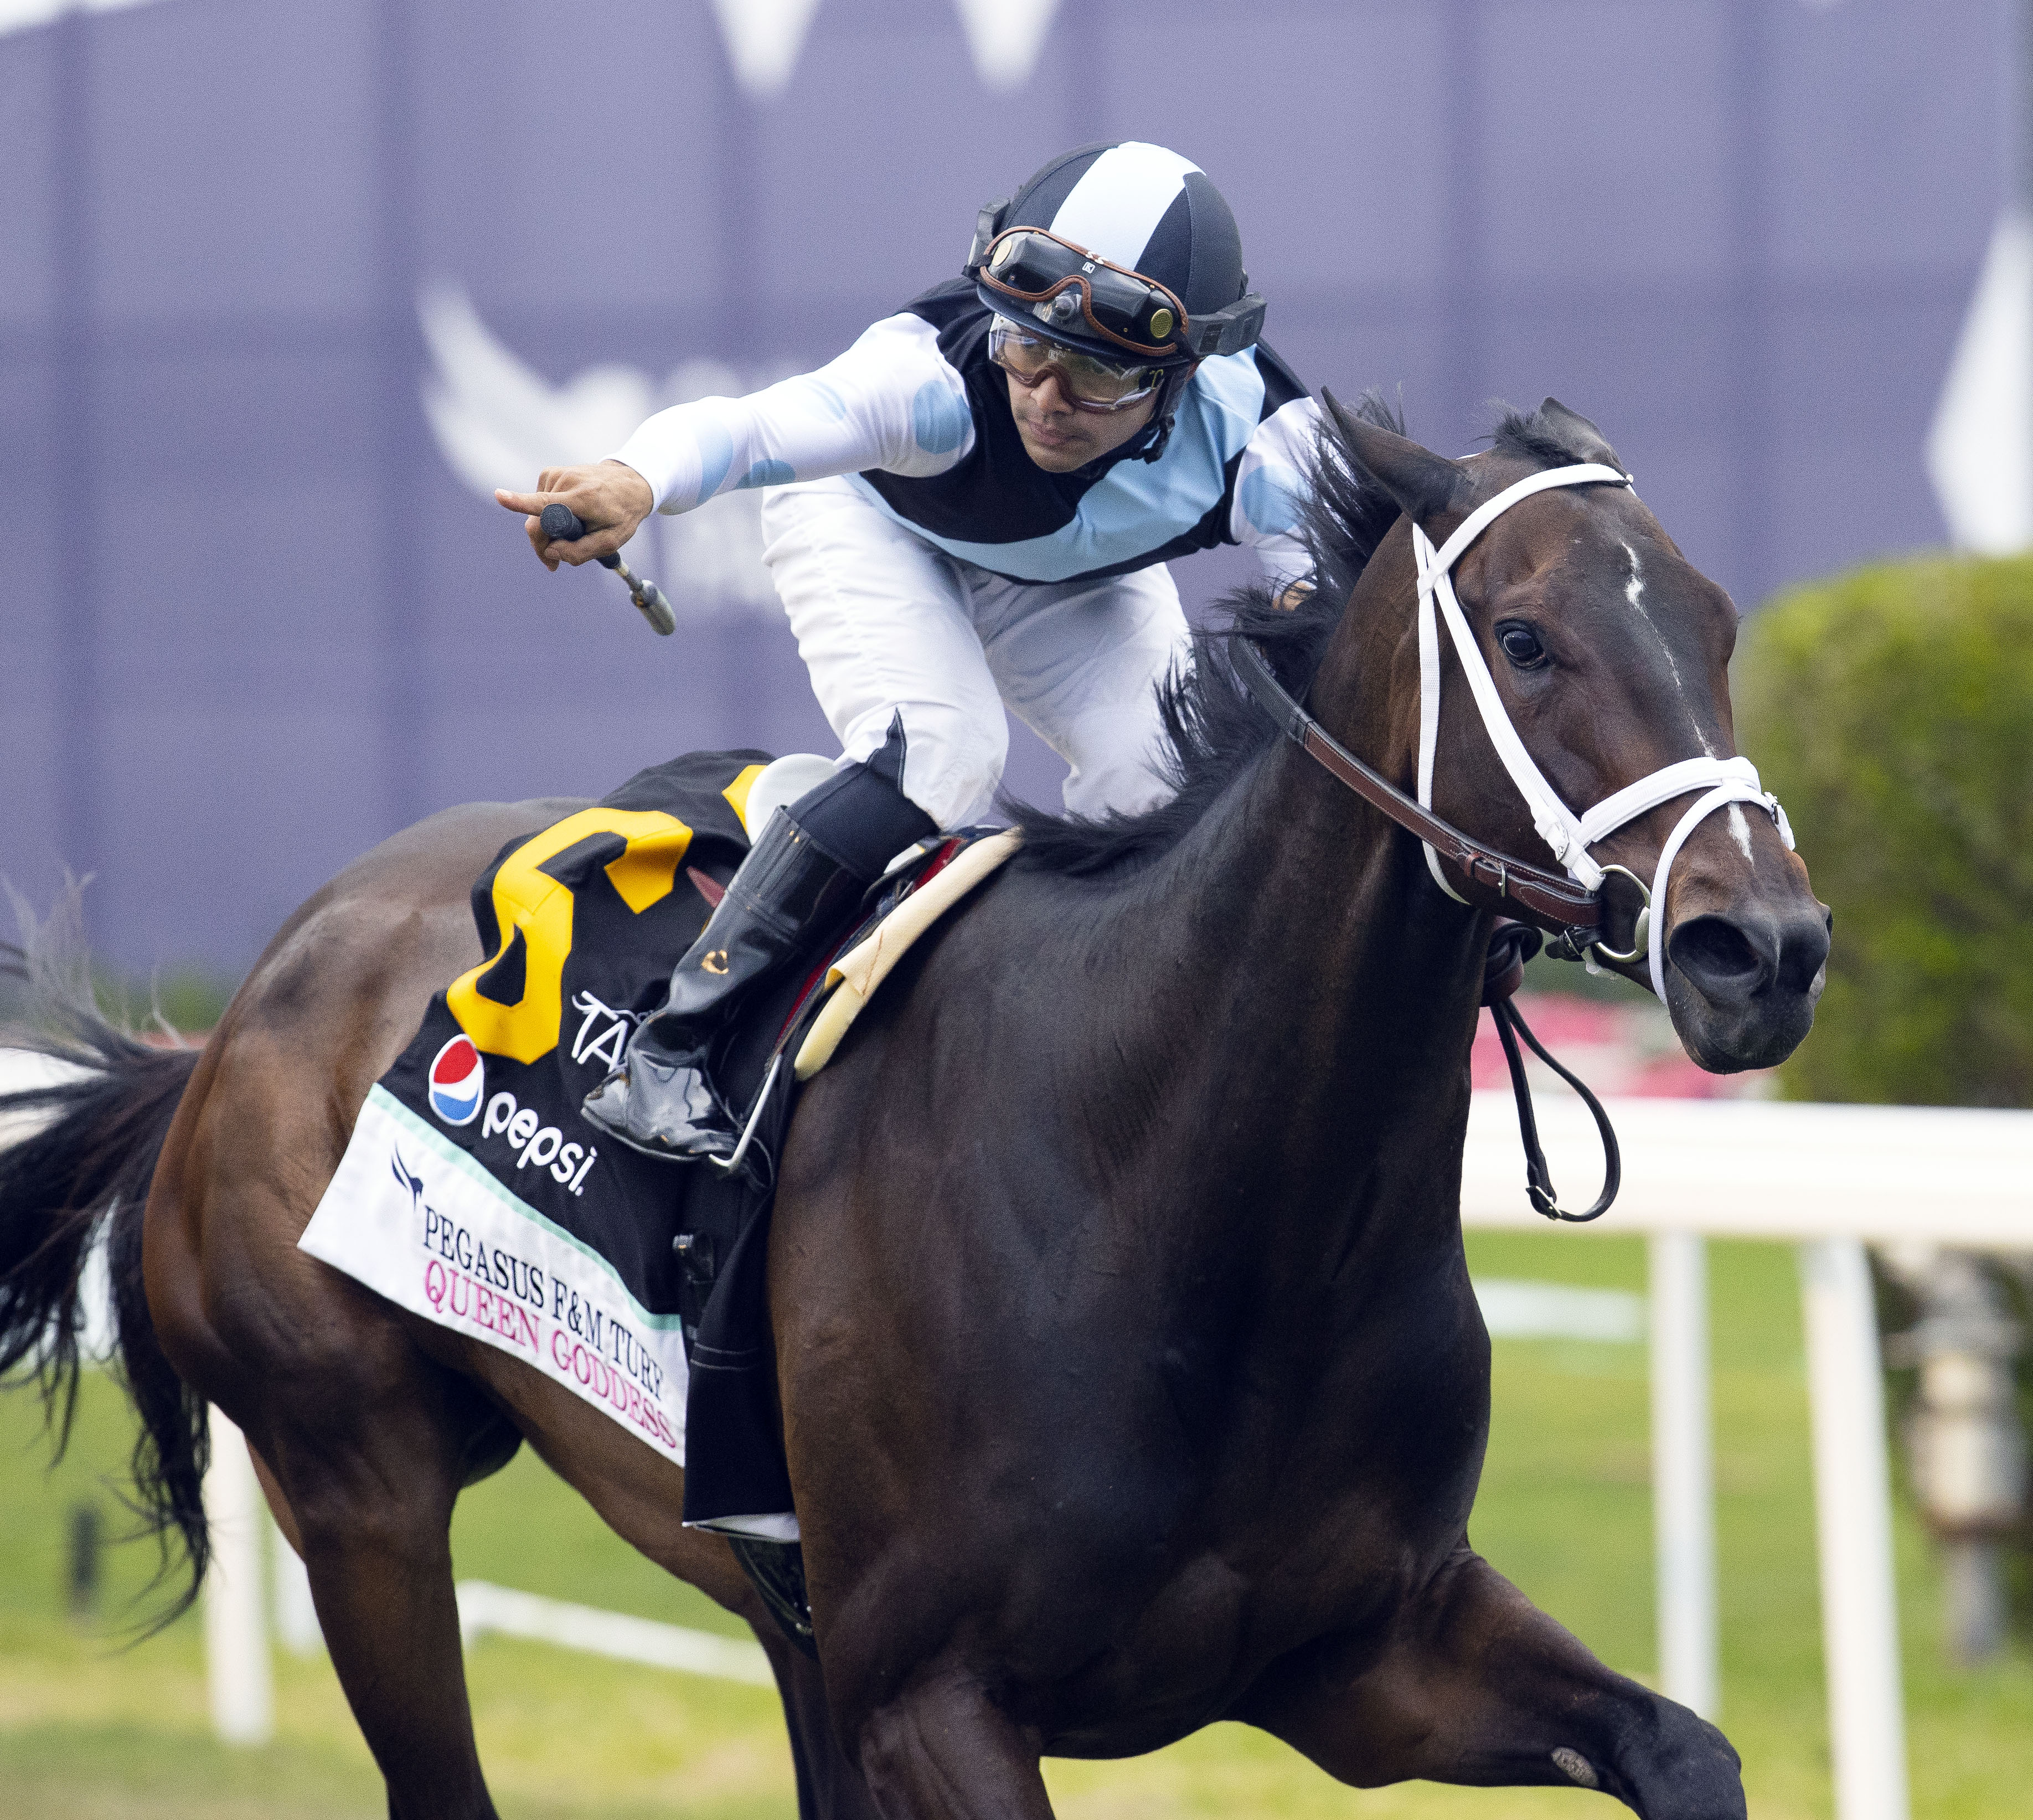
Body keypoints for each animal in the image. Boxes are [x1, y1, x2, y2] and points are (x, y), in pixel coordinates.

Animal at [0, 395, 1828, 1819]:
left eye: (1723, 628)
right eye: (1526, 638)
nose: (1761, 947)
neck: (1184, 1187)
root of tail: (234, 1018)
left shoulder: (1361, 1650)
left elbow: (1688, 1750)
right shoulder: (935, 1692)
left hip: (768, 1597)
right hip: (358, 1482)